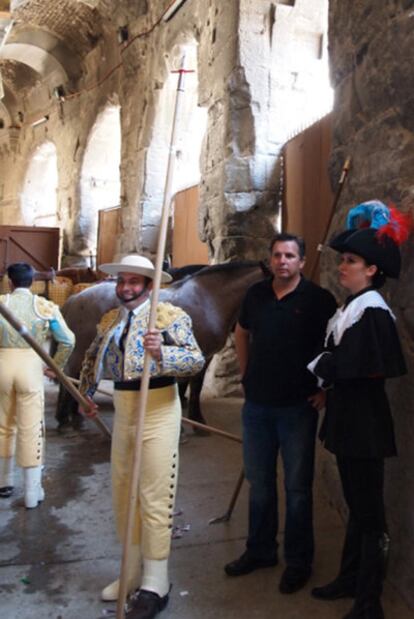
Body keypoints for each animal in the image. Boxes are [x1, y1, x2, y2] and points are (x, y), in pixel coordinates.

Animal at [55, 262, 268, 432]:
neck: (209, 301)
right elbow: (187, 387)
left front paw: (194, 422)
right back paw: (64, 418)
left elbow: (192, 387)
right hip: (80, 351)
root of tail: (75, 299)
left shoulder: (200, 357)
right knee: (68, 375)